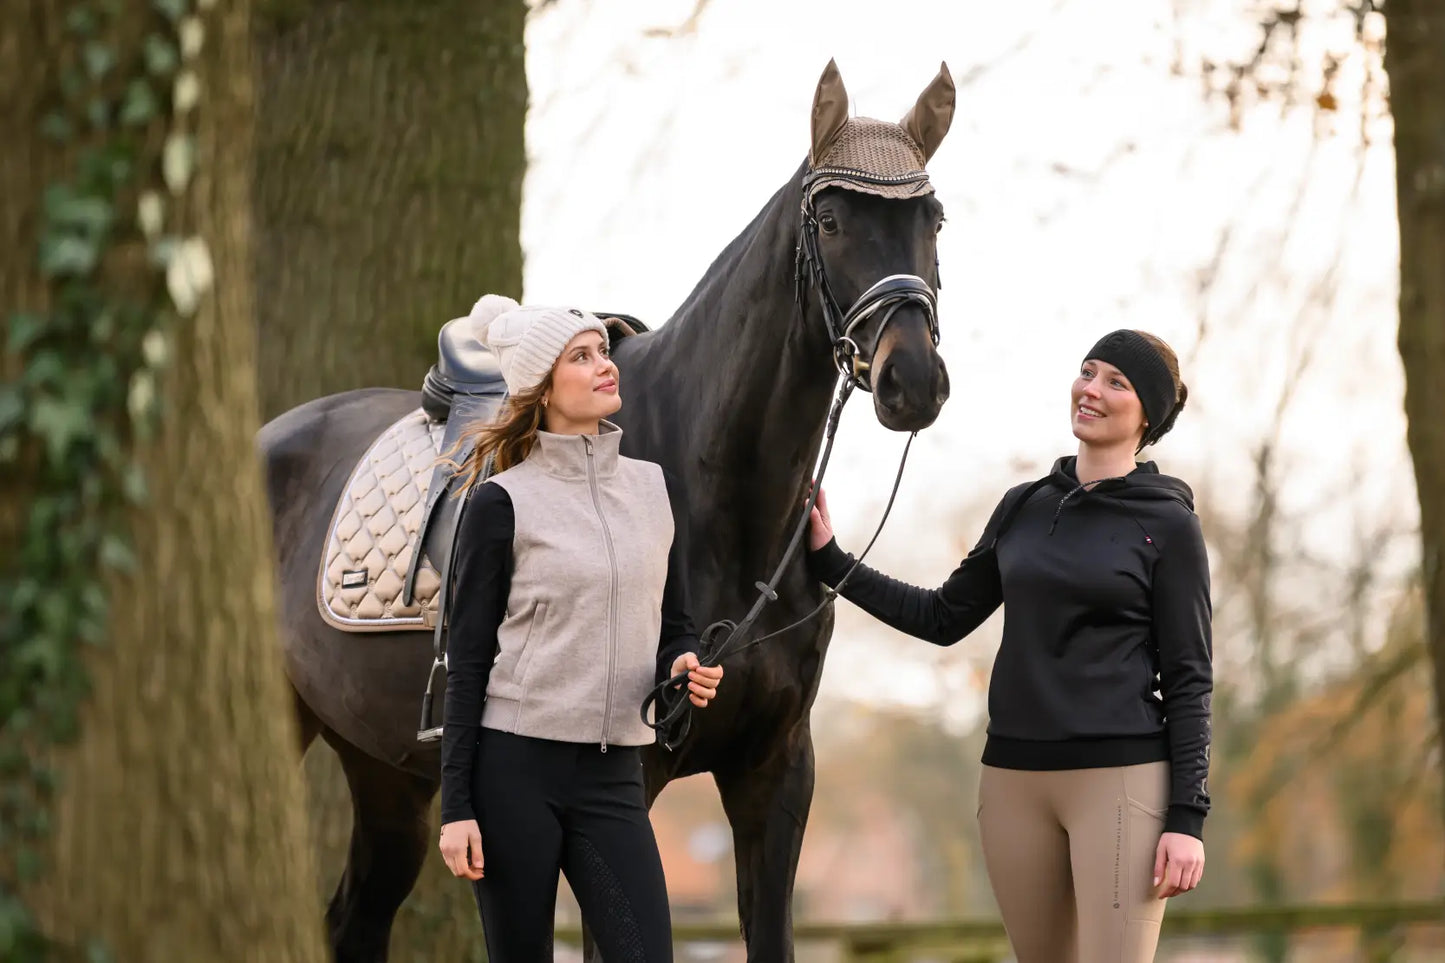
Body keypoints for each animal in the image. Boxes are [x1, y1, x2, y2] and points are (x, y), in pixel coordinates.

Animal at [259, 59, 955, 962]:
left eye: (933, 219)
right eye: (831, 220)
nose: (915, 381)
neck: (717, 502)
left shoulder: (775, 771)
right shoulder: (632, 781)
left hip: (383, 769)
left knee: (355, 919)